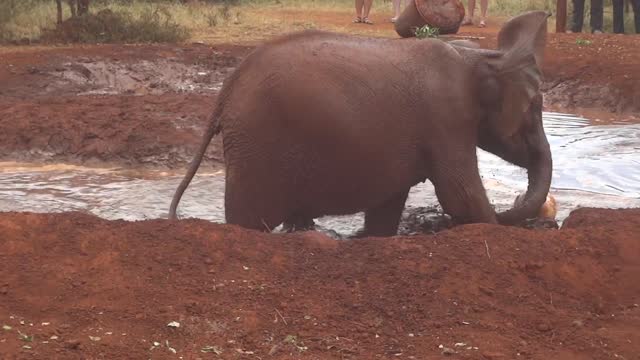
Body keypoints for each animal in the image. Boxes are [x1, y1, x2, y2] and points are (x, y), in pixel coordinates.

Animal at [171, 10, 556, 236]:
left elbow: (389, 204)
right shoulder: (447, 116)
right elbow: (461, 195)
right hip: (256, 140)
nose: (520, 208)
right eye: (533, 106)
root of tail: (226, 90)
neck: (480, 56)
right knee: (249, 220)